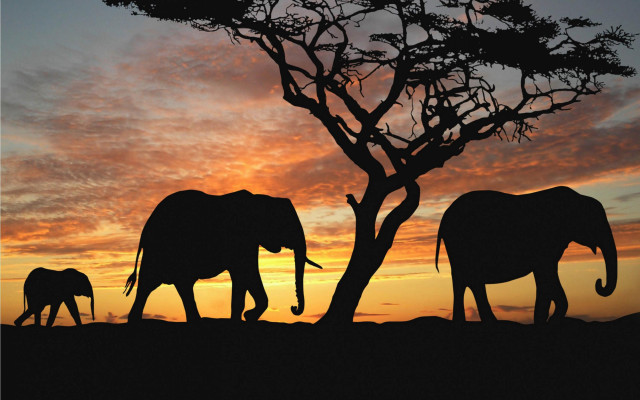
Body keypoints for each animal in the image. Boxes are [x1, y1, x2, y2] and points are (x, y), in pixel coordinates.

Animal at [124, 189, 322, 323]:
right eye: (286, 224)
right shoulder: (241, 238)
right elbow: (245, 273)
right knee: (167, 283)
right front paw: (245, 317)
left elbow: (246, 276)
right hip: (165, 247)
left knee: (155, 285)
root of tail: (146, 227)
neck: (261, 199)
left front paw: (246, 317)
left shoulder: (249, 241)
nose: (293, 308)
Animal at [435, 186, 617, 324]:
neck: (578, 198)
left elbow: (547, 277)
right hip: (460, 244)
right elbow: (546, 276)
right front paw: (547, 320)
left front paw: (547, 319)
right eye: (595, 222)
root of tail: (444, 218)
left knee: (468, 282)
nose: (598, 283)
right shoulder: (545, 243)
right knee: (467, 281)